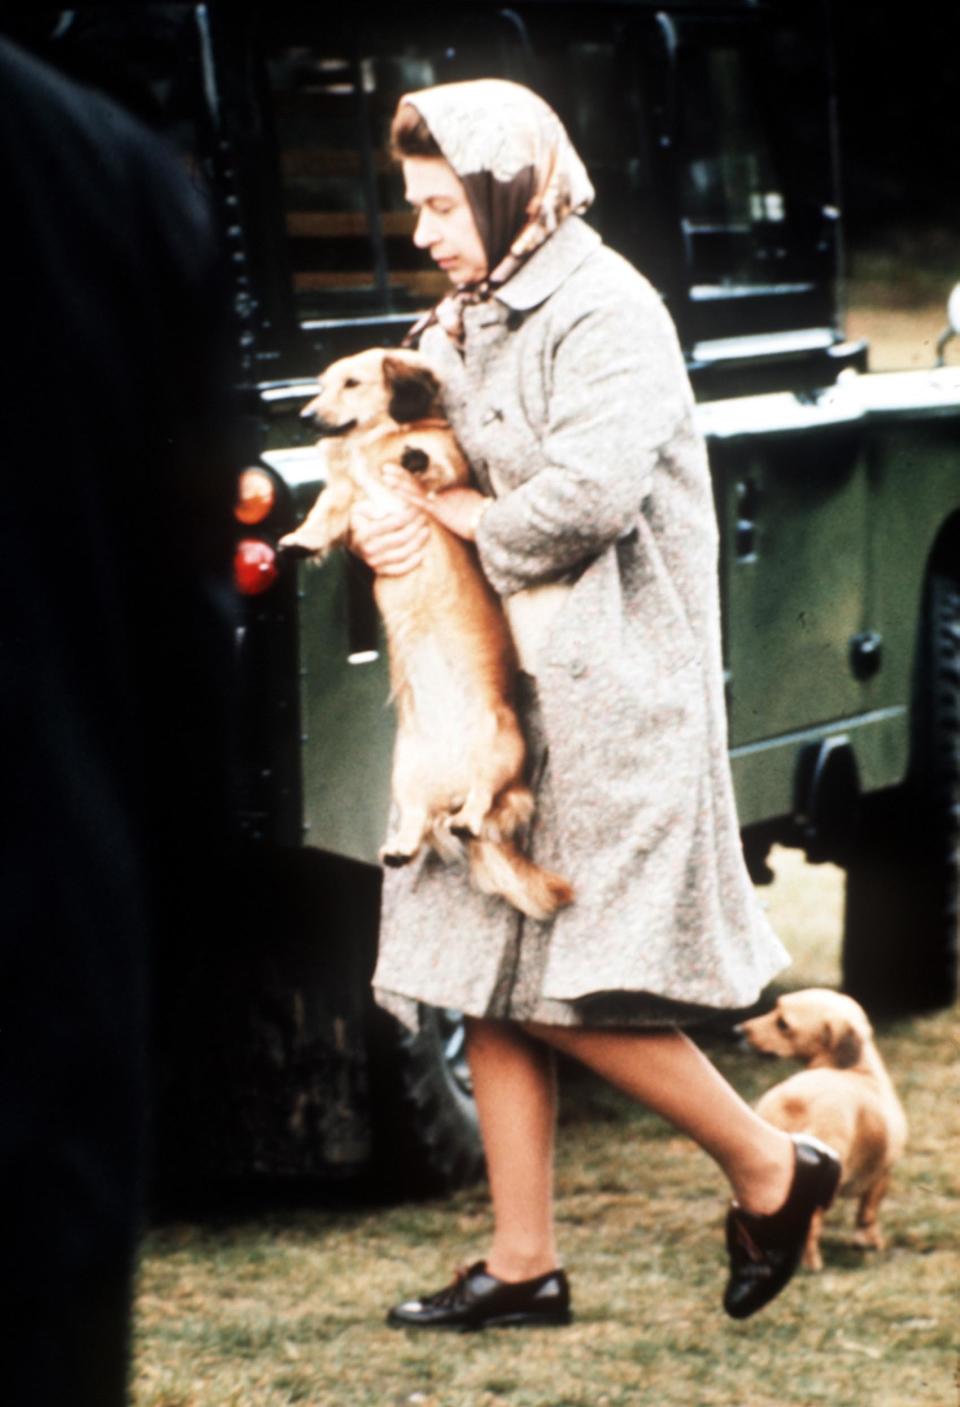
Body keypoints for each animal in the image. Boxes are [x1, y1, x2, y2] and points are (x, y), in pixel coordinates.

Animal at [280, 347, 571, 922]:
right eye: (322, 385)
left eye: (352, 383)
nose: (305, 417)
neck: (370, 445)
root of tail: (449, 786)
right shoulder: (345, 497)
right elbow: (323, 513)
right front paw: (299, 541)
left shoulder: (448, 465)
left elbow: (434, 457)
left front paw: (413, 456)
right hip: (405, 776)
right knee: (419, 821)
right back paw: (400, 847)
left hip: (500, 752)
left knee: (482, 804)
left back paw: (467, 817)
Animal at [737, 990, 906, 1277]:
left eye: (782, 1023)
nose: (736, 1030)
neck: (859, 1070)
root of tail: (793, 1100)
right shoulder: (881, 1176)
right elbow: (867, 1215)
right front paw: (870, 1243)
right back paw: (810, 1265)